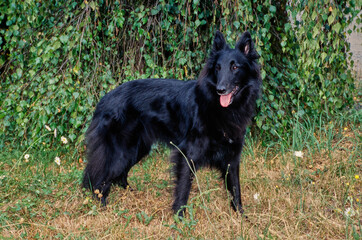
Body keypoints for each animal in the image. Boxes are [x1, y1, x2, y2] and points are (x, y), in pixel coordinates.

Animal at [83, 30, 262, 216]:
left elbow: (235, 189)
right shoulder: (187, 155)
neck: (219, 108)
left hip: (137, 149)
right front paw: (179, 217)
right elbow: (183, 189)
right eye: (218, 68)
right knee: (100, 179)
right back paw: (102, 207)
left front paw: (241, 216)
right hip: (121, 151)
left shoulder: (232, 158)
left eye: (235, 67)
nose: (220, 89)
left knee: (119, 175)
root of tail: (104, 99)